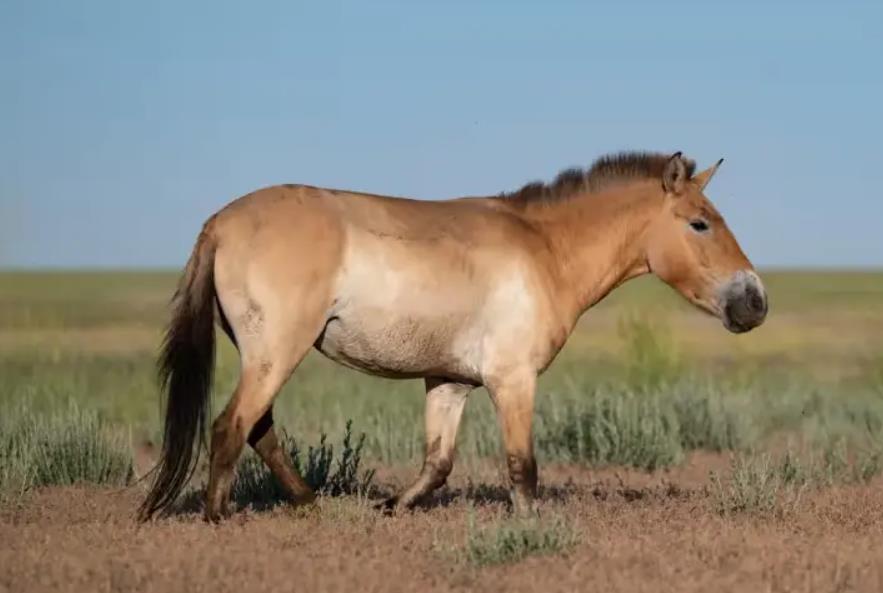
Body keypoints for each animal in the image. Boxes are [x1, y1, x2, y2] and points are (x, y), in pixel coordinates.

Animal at [136, 150, 768, 520]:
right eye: (700, 223)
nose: (755, 302)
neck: (544, 250)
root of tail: (220, 223)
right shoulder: (513, 380)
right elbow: (522, 468)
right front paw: (533, 530)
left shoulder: (449, 381)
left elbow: (437, 464)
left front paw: (389, 507)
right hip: (277, 352)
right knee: (232, 426)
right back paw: (220, 517)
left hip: (266, 355)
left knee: (259, 429)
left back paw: (312, 504)